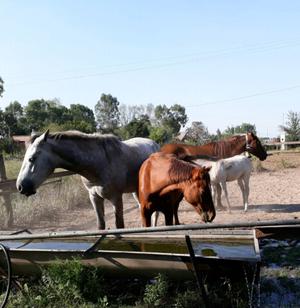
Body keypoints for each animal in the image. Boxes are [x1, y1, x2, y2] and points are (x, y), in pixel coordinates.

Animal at [15, 130, 159, 229]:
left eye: (32, 158)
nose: (21, 186)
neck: (100, 162)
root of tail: (155, 144)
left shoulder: (116, 198)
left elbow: (119, 226)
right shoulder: (94, 197)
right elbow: (101, 225)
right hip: (136, 190)